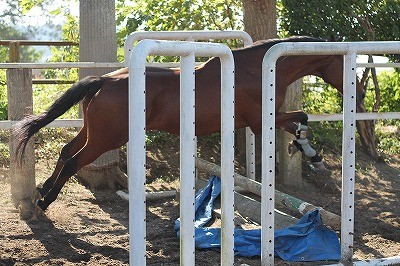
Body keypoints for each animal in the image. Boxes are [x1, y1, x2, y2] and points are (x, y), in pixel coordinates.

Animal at [13, 35, 366, 211]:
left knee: (64, 151)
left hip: (93, 131)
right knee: (74, 160)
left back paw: (42, 190)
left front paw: (311, 154)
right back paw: (45, 201)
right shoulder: (260, 121)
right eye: (347, 64)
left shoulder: (262, 122)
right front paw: (308, 152)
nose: (360, 92)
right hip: (107, 138)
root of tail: (103, 80)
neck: (256, 69)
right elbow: (301, 117)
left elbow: (301, 123)